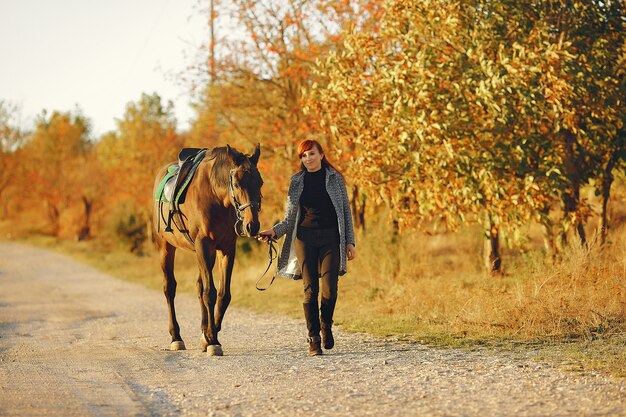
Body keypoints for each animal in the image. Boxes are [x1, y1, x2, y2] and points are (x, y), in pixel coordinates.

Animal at [152, 143, 262, 354]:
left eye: (260, 183)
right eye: (237, 184)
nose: (252, 226)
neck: (216, 196)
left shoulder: (226, 249)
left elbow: (223, 294)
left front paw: (208, 336)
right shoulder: (204, 244)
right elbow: (210, 293)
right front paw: (212, 340)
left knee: (199, 286)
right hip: (166, 248)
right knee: (169, 288)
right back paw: (176, 337)